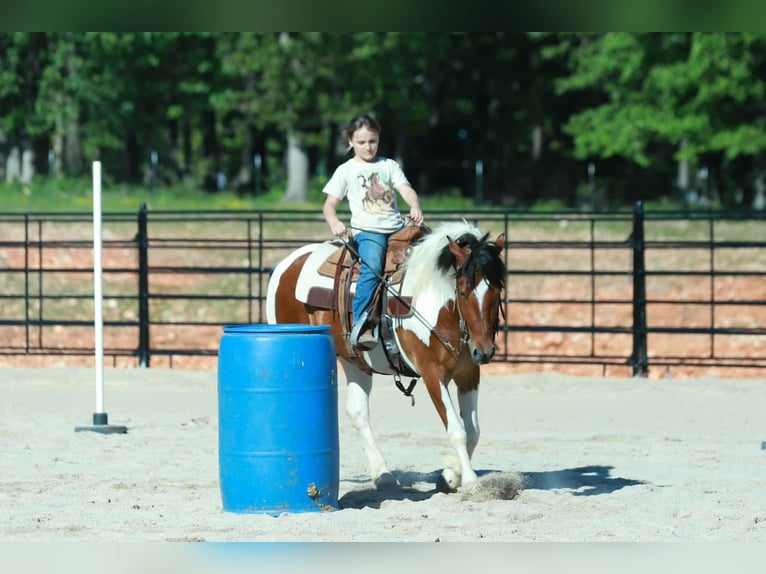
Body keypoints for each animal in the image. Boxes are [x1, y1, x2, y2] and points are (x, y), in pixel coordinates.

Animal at [265, 219, 506, 492]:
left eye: (497, 290)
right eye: (463, 292)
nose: (484, 351)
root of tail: (287, 263)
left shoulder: (468, 374)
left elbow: (473, 431)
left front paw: (450, 476)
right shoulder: (432, 374)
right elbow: (458, 430)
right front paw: (471, 480)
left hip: (354, 360)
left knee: (357, 411)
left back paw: (383, 474)